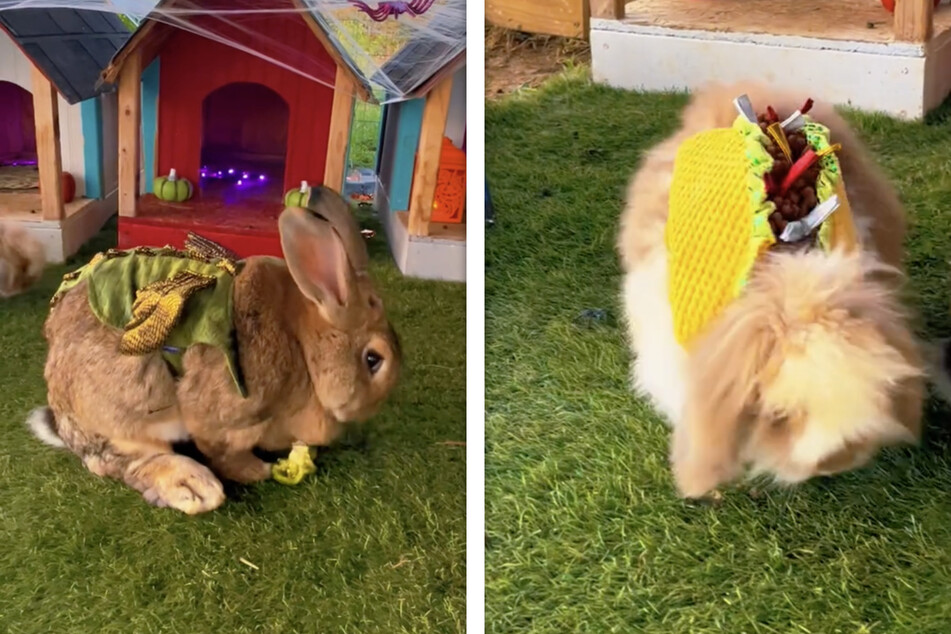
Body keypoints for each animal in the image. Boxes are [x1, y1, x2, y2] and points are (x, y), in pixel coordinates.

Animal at [28, 185, 402, 512]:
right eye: (374, 360)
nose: (371, 409)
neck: (305, 349)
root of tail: (62, 416)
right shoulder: (227, 419)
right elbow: (225, 453)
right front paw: (258, 471)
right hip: (128, 414)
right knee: (122, 461)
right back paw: (191, 486)